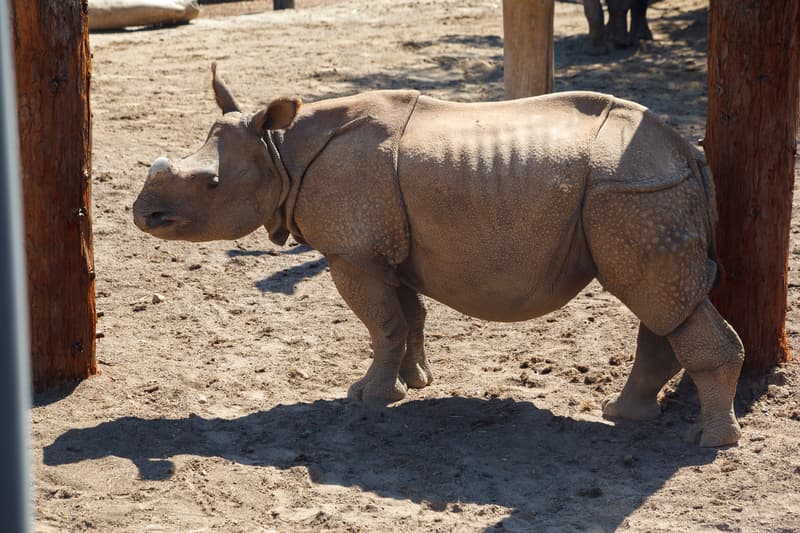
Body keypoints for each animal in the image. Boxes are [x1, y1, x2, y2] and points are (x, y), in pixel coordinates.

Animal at [133, 65, 744, 447]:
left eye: (211, 185)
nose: (143, 215)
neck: (279, 150)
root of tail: (687, 150)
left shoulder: (353, 253)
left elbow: (381, 323)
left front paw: (368, 399)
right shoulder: (386, 248)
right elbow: (406, 317)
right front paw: (417, 382)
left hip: (635, 191)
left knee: (655, 295)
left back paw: (707, 443)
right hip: (644, 193)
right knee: (662, 301)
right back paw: (627, 417)